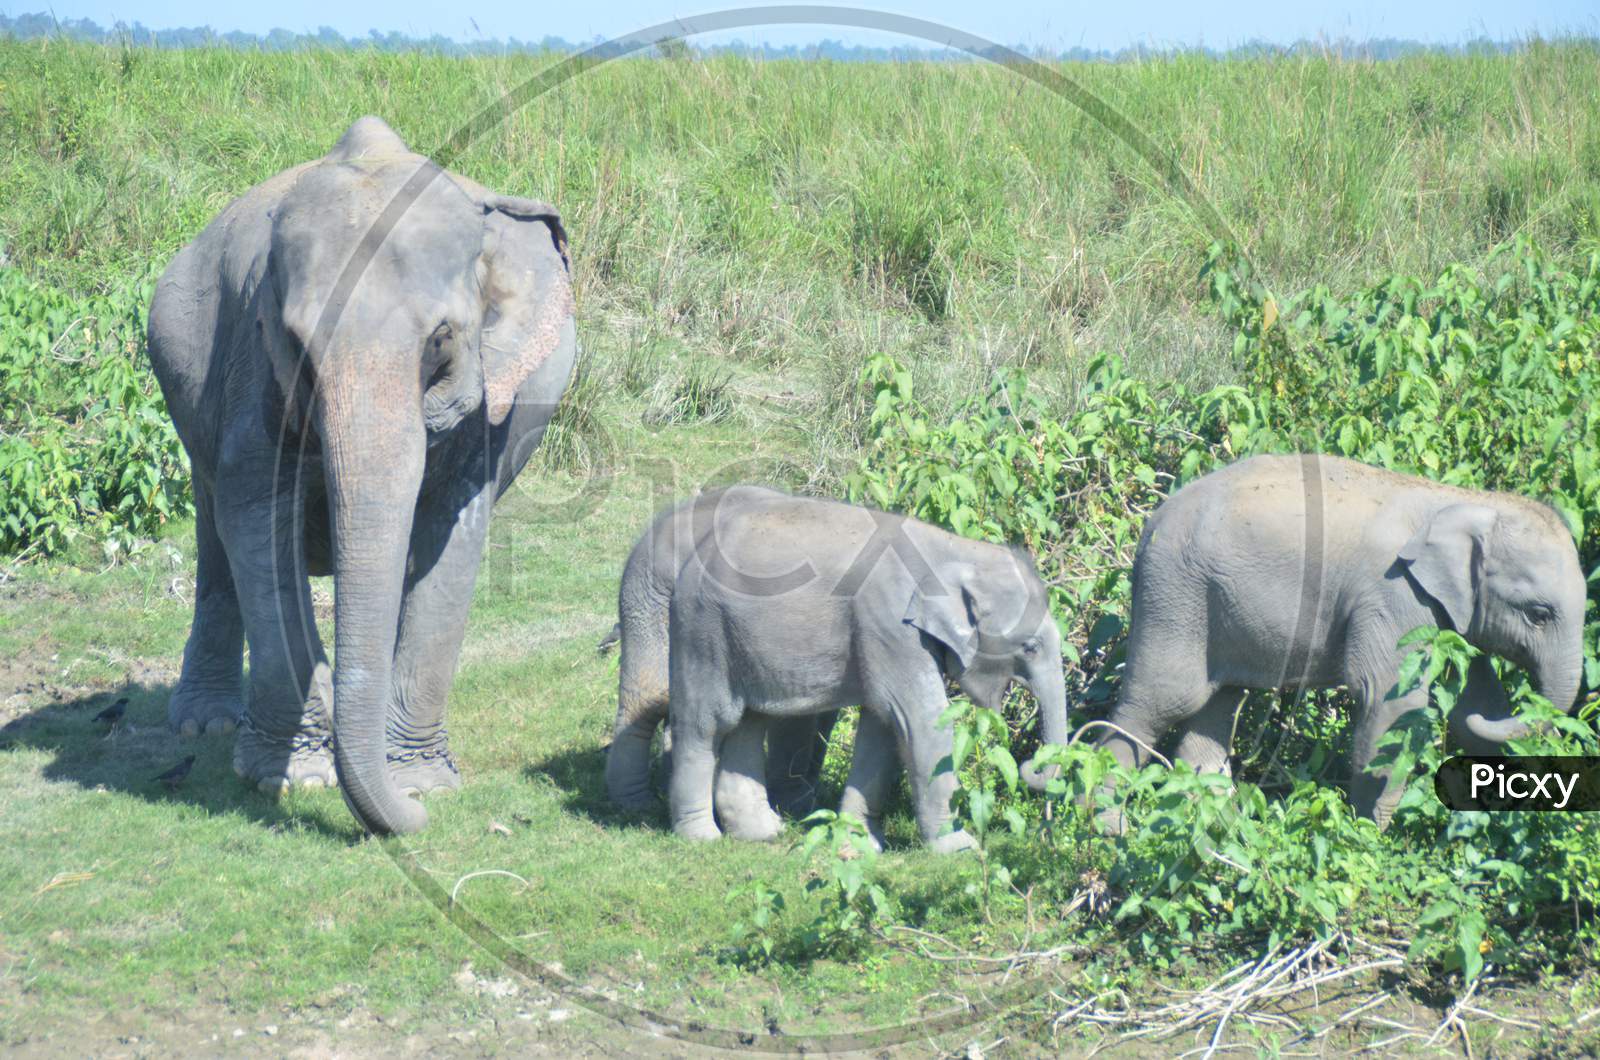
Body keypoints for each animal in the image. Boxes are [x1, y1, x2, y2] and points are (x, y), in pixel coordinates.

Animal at [147, 116, 579, 839]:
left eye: (441, 338)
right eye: (294, 342)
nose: (413, 821)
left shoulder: (492, 403)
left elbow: (451, 531)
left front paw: (423, 785)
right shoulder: (252, 368)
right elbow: (257, 516)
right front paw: (293, 777)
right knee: (215, 531)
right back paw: (204, 726)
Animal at [665, 493, 1075, 858]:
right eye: (1030, 647)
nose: (1028, 767)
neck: (955, 549)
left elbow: (883, 728)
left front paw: (859, 844)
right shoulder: (890, 625)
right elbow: (921, 722)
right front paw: (961, 849)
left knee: (750, 722)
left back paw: (762, 833)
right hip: (703, 632)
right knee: (707, 724)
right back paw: (702, 838)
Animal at [1100, 451, 1587, 826]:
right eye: (1539, 614)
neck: (1461, 501)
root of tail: (1149, 525)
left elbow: (1475, 703)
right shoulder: (1394, 595)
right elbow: (1389, 701)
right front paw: (1368, 836)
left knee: (1217, 707)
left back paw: (1214, 828)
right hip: (1176, 595)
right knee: (1161, 701)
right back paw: (1111, 831)